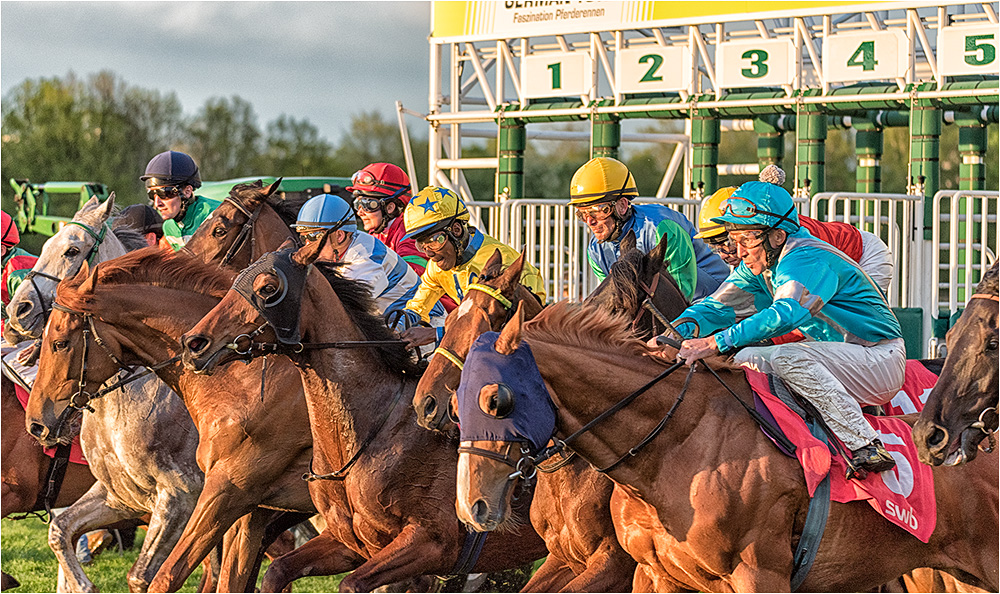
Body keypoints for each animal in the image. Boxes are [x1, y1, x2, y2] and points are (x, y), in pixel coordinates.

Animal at [25, 247, 314, 588]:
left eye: (60, 343)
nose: (36, 424)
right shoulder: (120, 497)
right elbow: (60, 531)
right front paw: (83, 585)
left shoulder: (183, 500)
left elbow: (143, 576)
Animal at [183, 238, 552, 588]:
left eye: (267, 288)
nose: (194, 343)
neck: (369, 433)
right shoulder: (349, 543)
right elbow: (277, 571)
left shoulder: (431, 543)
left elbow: (352, 583)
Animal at [458, 302, 996, 588]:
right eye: (455, 401)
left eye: (496, 400)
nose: (472, 507)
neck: (674, 448)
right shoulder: (657, 575)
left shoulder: (759, 575)